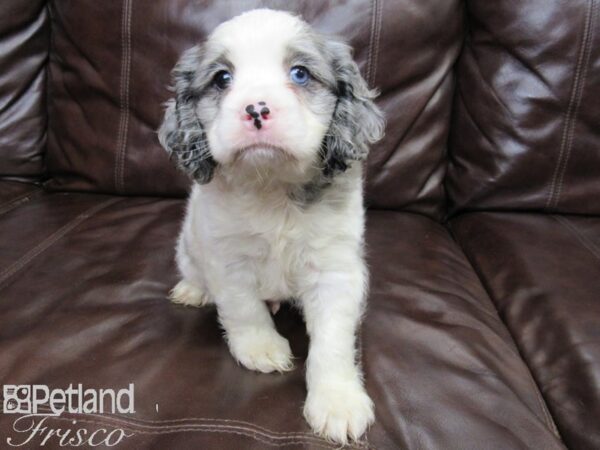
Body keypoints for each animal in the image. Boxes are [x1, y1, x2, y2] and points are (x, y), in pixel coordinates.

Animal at [159, 8, 384, 444]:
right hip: (186, 245)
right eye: (222, 78)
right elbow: (244, 309)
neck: (271, 188)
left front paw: (337, 401)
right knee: (193, 271)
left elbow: (332, 340)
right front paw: (262, 348)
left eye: (300, 73)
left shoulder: (335, 271)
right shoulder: (228, 260)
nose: (256, 109)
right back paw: (193, 290)